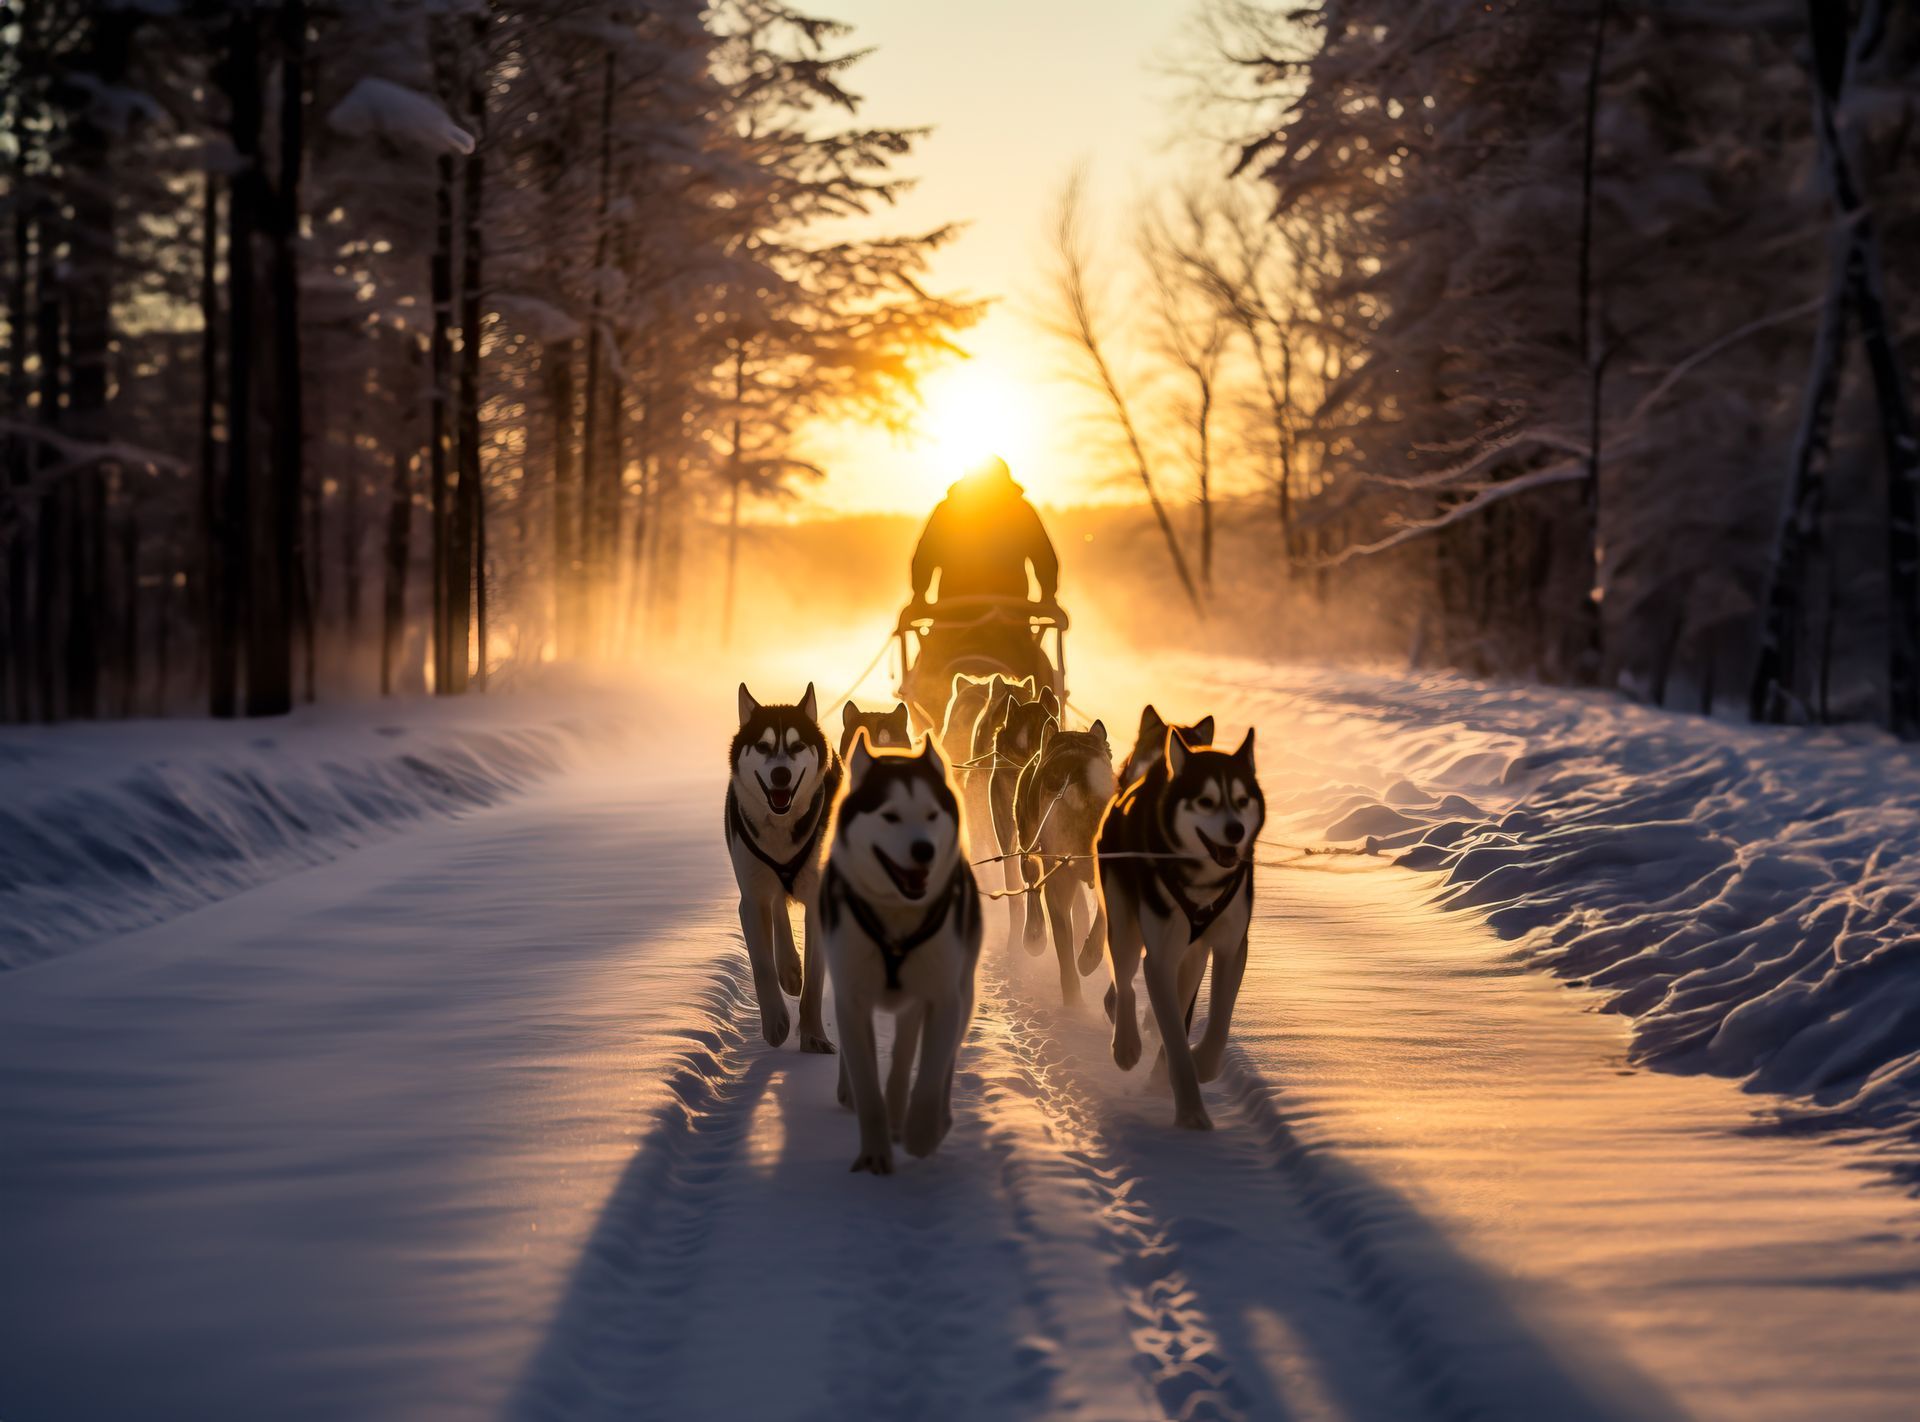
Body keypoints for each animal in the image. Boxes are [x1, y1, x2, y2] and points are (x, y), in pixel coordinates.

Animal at [721, 683, 837, 1051]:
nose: (781, 774)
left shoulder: (819, 899)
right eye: (763, 746)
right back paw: (788, 967)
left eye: (798, 746)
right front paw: (775, 1022)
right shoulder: (751, 898)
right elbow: (761, 965)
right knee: (777, 905)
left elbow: (815, 979)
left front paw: (814, 1035)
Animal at [821, 733, 983, 1174]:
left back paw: (924, 1119)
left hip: (959, 992)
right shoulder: (852, 1000)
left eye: (931, 815)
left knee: (928, 1060)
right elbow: (867, 1084)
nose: (924, 850)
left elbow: (929, 1074)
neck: (897, 916)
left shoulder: (943, 999)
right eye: (890, 816)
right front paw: (875, 1153)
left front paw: (922, 1134)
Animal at [1098, 725, 1259, 1128]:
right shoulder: (1159, 959)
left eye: (1242, 800)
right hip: (1125, 929)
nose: (1235, 830)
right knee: (1124, 982)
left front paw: (1201, 1063)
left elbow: (1218, 1022)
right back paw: (1126, 1044)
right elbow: (1170, 1032)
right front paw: (1190, 1112)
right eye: (1205, 800)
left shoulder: (1231, 947)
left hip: (1193, 956)